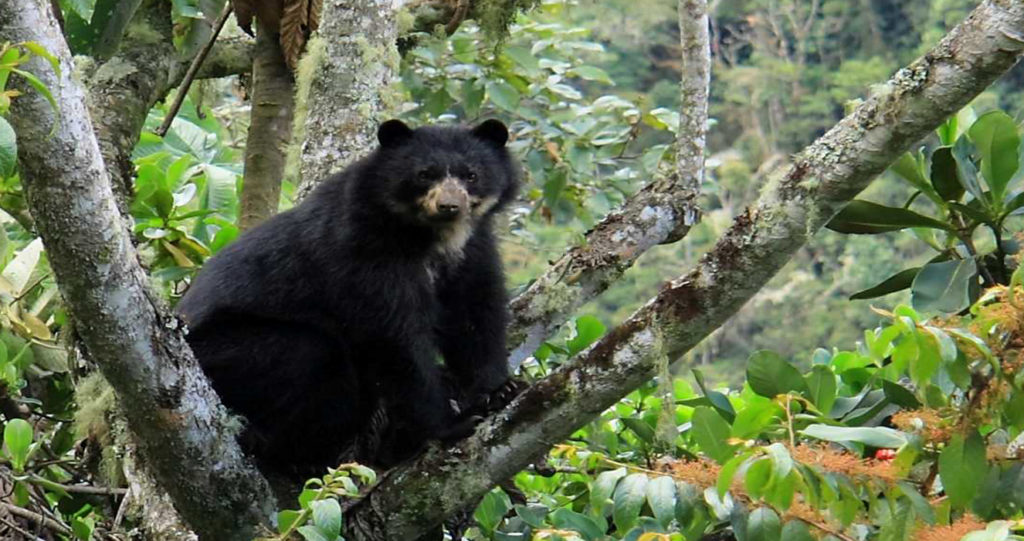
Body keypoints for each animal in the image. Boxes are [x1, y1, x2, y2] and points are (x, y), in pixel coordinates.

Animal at [176, 119, 520, 478]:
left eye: (471, 174)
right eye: (425, 174)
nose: (450, 206)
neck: (431, 237)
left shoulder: (472, 251)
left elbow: (475, 315)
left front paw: (499, 390)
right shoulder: (365, 257)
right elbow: (396, 342)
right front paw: (452, 424)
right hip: (222, 352)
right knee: (309, 352)